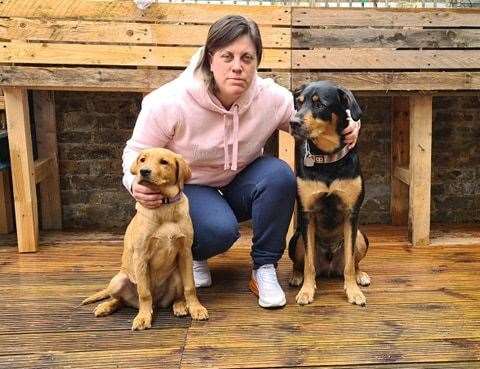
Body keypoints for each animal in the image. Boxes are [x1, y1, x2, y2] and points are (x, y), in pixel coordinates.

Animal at [82, 147, 208, 330]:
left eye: (164, 162)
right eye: (142, 160)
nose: (144, 171)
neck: (164, 205)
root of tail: (158, 303)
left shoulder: (185, 252)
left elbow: (190, 287)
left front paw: (196, 308)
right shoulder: (140, 256)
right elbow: (144, 292)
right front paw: (143, 318)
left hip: (177, 274)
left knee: (177, 296)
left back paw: (180, 306)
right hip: (118, 281)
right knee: (120, 300)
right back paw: (106, 307)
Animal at [288, 80, 372, 304]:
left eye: (319, 104)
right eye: (299, 103)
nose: (293, 122)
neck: (327, 158)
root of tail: (329, 266)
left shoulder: (351, 213)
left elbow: (349, 264)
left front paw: (353, 292)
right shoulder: (307, 214)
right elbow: (309, 264)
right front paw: (307, 291)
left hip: (361, 236)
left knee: (353, 262)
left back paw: (361, 275)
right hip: (296, 240)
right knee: (301, 263)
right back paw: (296, 277)